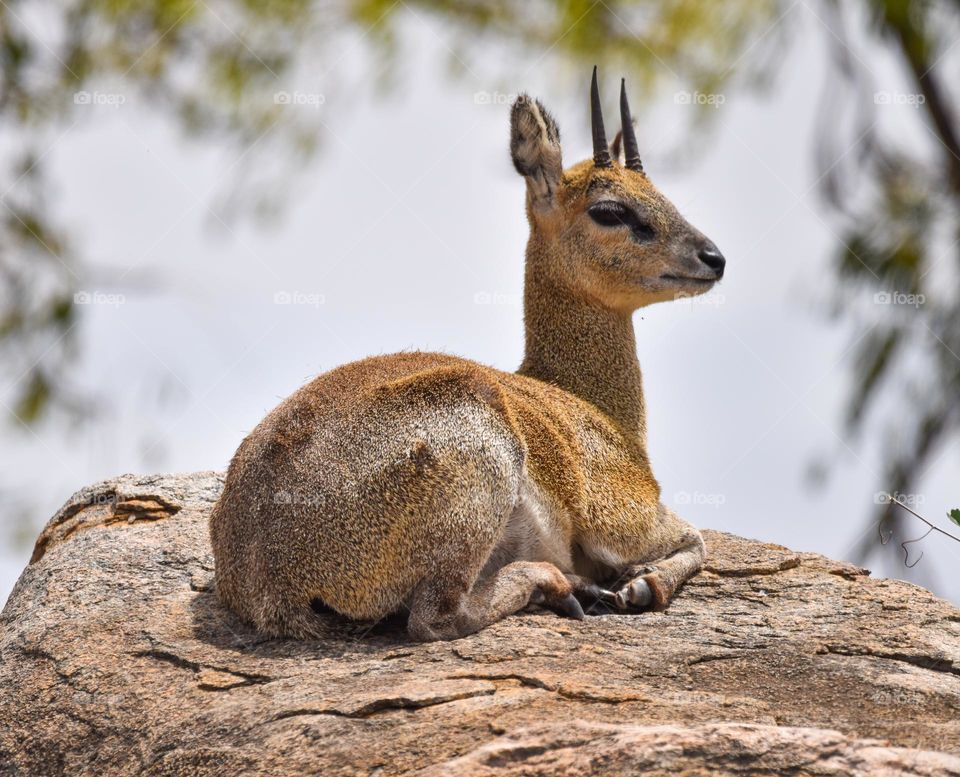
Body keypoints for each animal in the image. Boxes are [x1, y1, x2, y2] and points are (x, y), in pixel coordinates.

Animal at [208, 69, 720, 640]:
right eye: (610, 209)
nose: (713, 258)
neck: (593, 406)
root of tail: (268, 577)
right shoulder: (626, 517)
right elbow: (696, 539)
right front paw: (637, 587)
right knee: (436, 617)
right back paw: (564, 586)